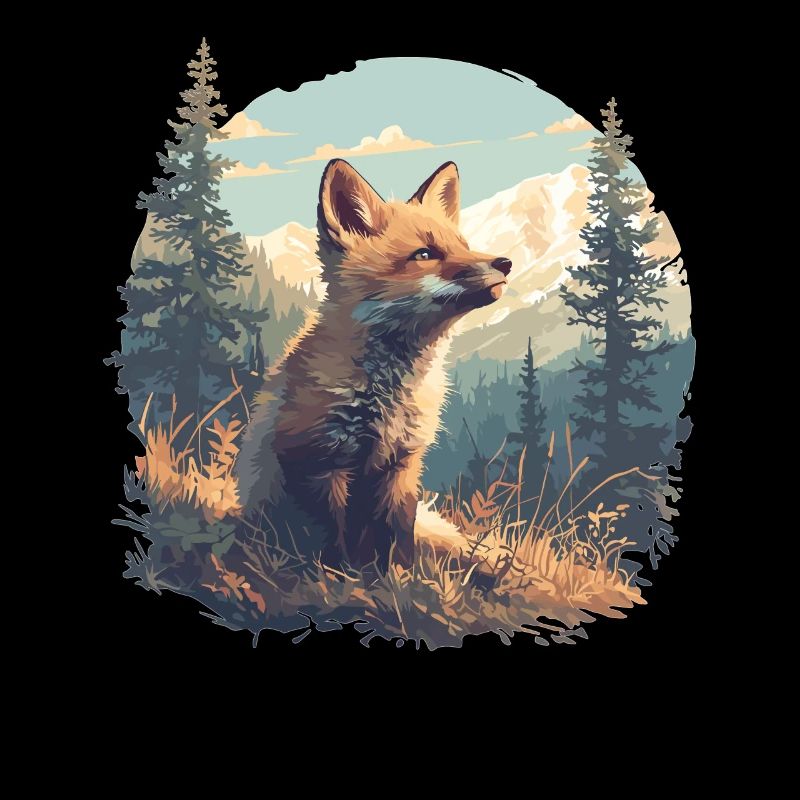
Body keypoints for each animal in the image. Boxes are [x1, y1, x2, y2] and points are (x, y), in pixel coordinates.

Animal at [235, 158, 512, 573]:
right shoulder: (318, 459)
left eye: (463, 246)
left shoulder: (401, 464)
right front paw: (338, 580)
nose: (505, 263)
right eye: (425, 254)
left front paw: (399, 581)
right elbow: (329, 546)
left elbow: (397, 544)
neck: (385, 394)